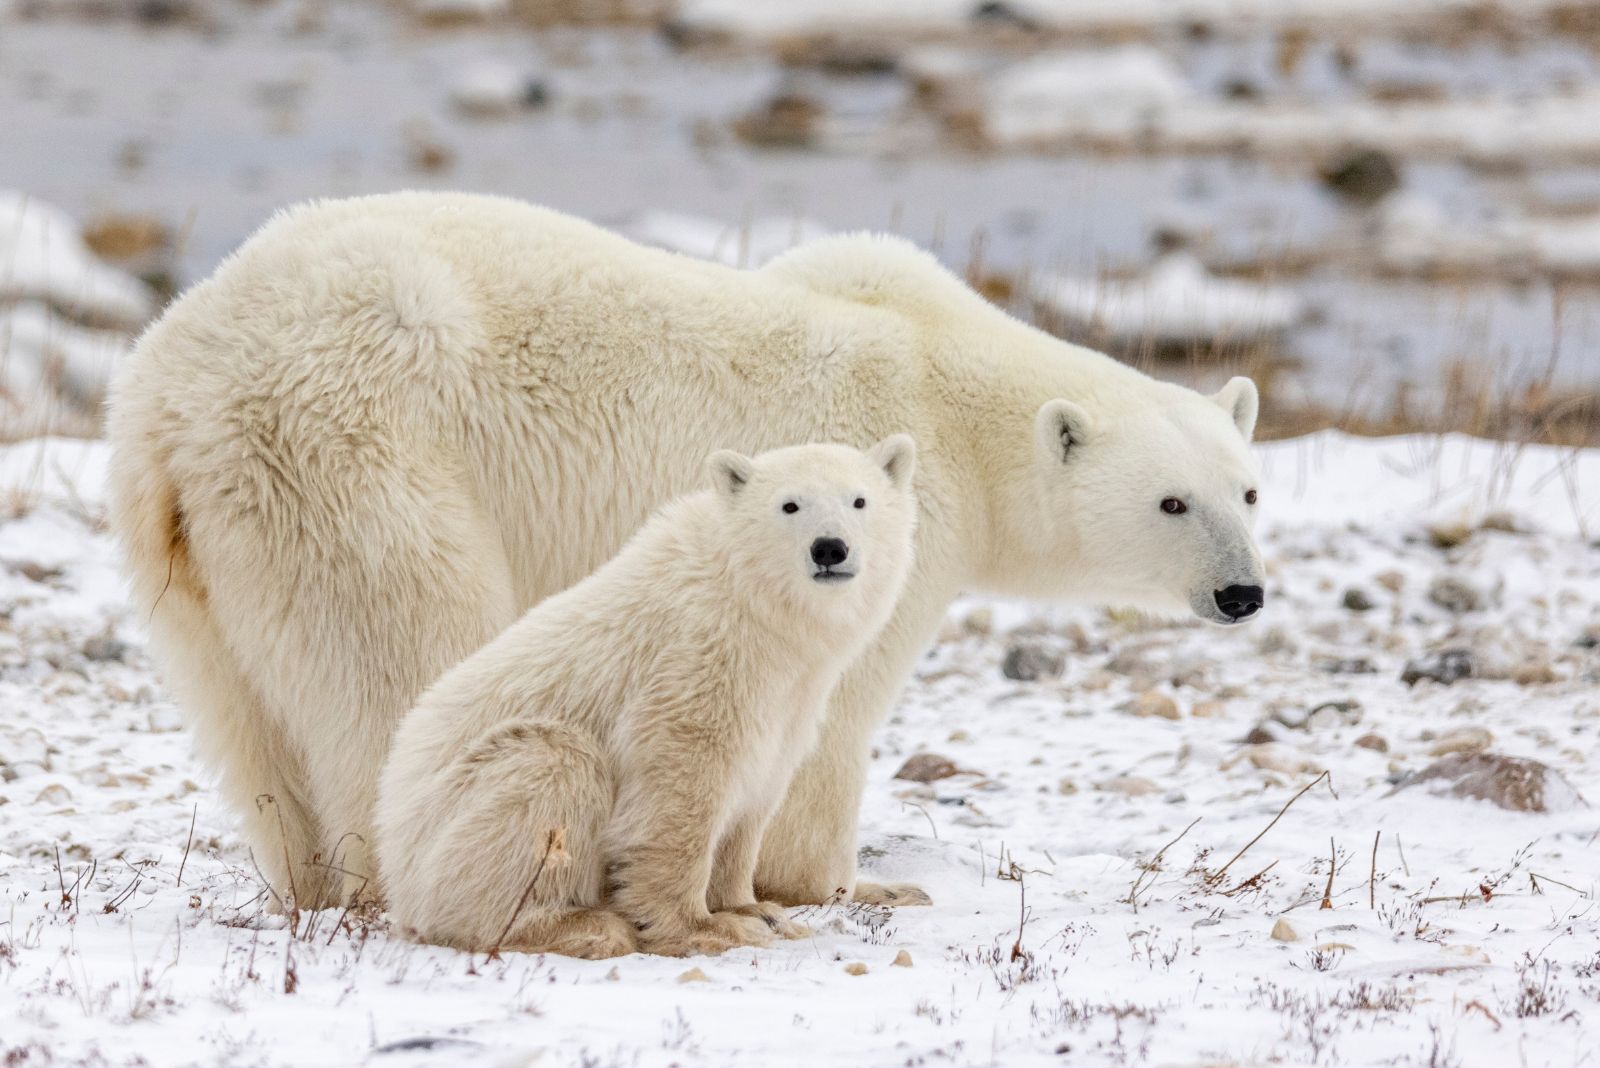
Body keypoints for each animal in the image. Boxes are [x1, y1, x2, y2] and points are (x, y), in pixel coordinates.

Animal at [106, 191, 1267, 908]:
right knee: (405, 656)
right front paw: (851, 883)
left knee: (251, 722)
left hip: (196, 541)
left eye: (1247, 490)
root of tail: (178, 386)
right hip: (364, 459)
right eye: (1172, 503)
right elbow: (829, 713)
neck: (948, 379)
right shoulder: (892, 513)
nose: (1243, 594)